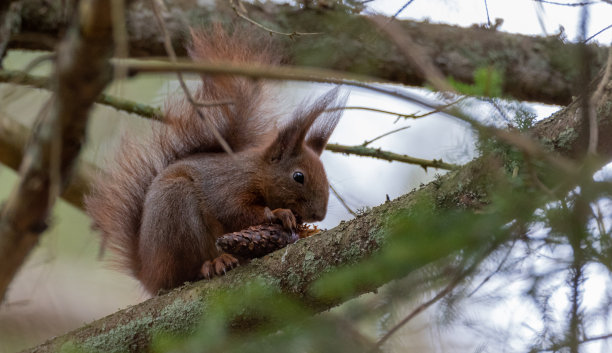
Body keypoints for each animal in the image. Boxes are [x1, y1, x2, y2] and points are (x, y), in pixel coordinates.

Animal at [83, 25, 346, 294]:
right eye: (298, 176)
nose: (318, 215)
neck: (257, 172)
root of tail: (148, 275)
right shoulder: (227, 186)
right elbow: (234, 211)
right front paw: (279, 213)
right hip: (177, 210)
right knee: (186, 270)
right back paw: (213, 263)